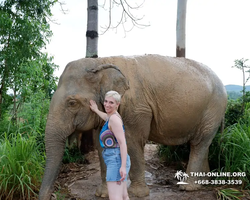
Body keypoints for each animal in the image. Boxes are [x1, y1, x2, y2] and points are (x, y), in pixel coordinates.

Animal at [38, 54, 228, 199]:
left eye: (72, 103)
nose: (51, 196)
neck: (102, 62)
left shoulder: (137, 108)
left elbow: (132, 140)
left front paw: (136, 194)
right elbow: (102, 144)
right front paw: (103, 194)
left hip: (213, 109)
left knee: (199, 143)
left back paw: (188, 188)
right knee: (202, 144)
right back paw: (204, 182)